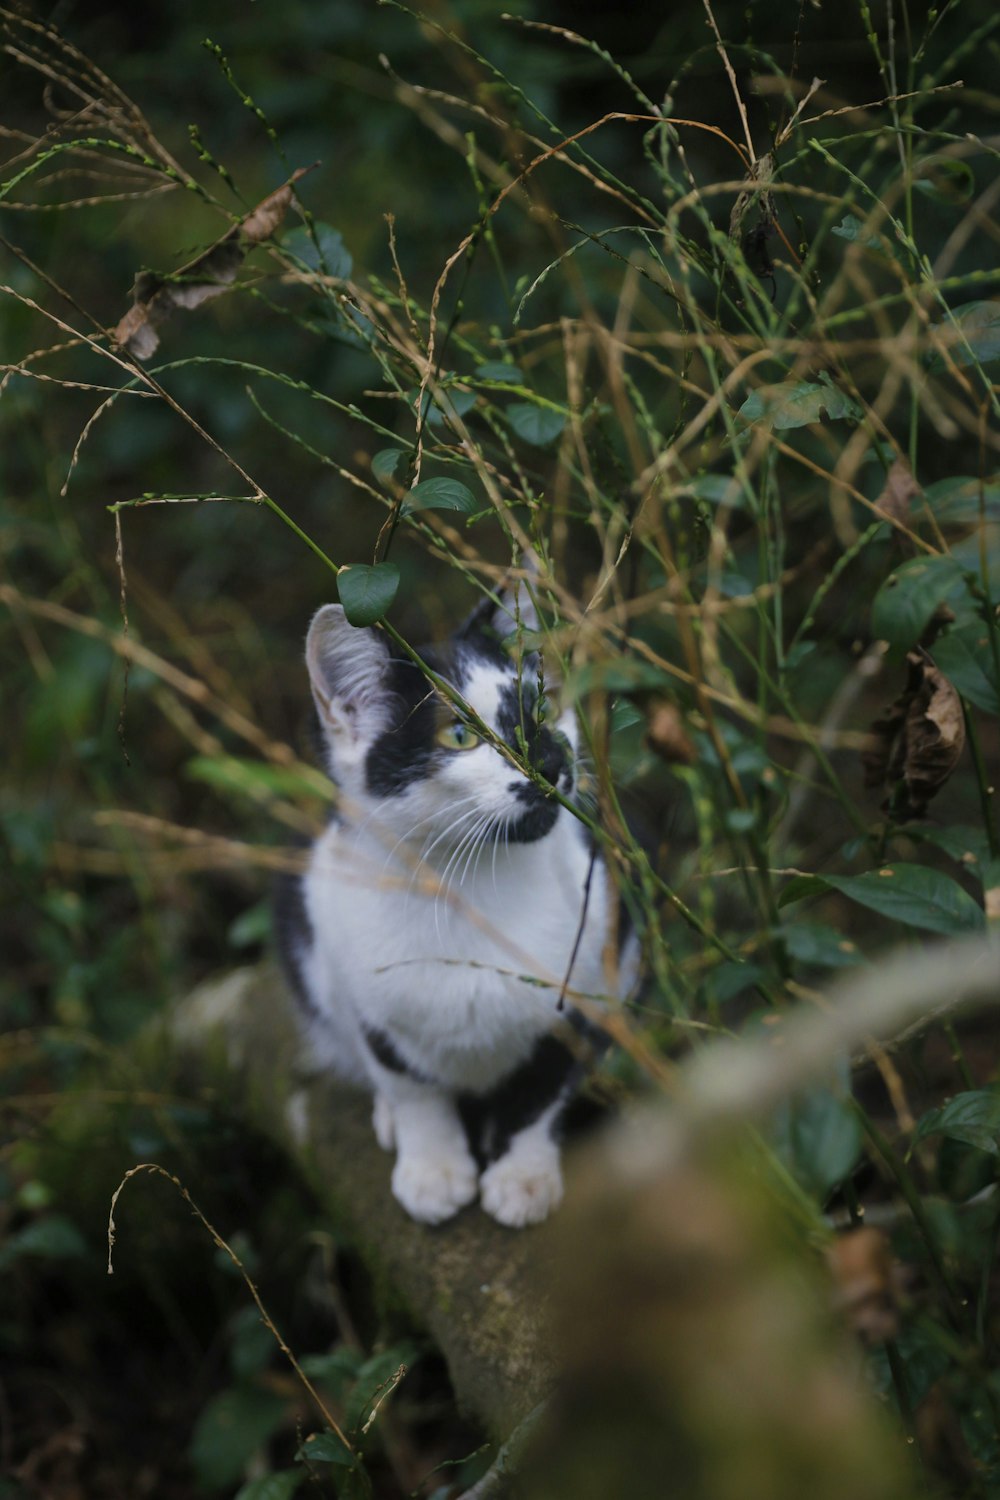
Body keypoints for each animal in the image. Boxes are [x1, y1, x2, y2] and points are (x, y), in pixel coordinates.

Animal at [274, 579, 632, 1224]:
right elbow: (410, 1086)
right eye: (458, 735)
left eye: (542, 708)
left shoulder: (586, 983)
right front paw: (433, 1170)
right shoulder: (364, 994)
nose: (551, 762)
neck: (474, 887)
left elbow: (540, 1092)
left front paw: (522, 1177)